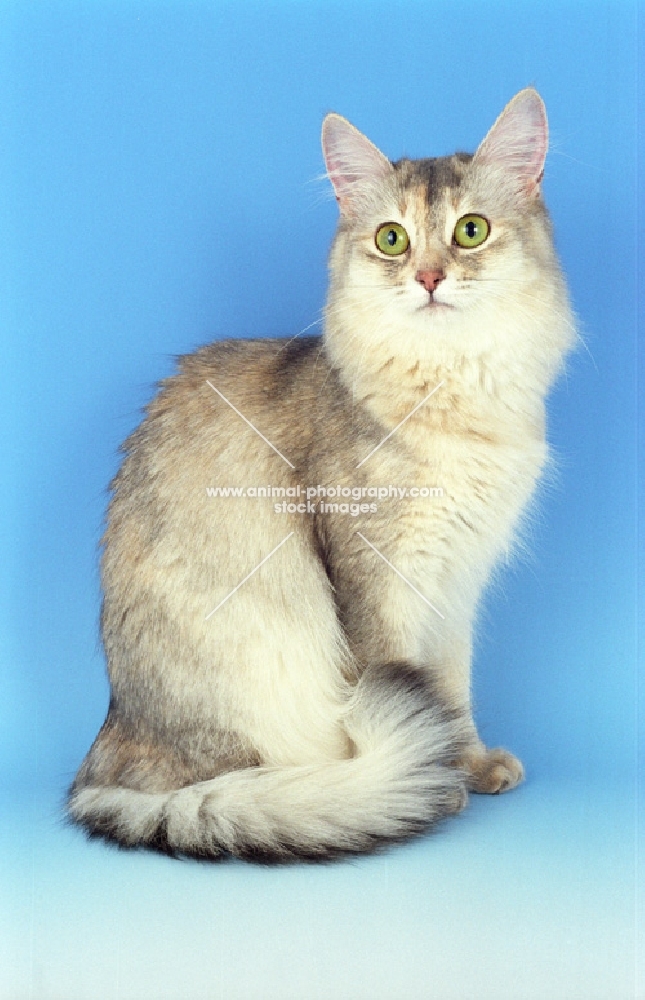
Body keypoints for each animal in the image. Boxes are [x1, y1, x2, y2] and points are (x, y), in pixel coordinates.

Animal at [69, 90, 572, 864]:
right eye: (392, 240)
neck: (454, 398)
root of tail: (100, 761)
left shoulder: (458, 580)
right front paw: (435, 778)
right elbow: (397, 670)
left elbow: (451, 685)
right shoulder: (379, 574)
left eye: (471, 231)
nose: (429, 278)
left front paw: (470, 761)